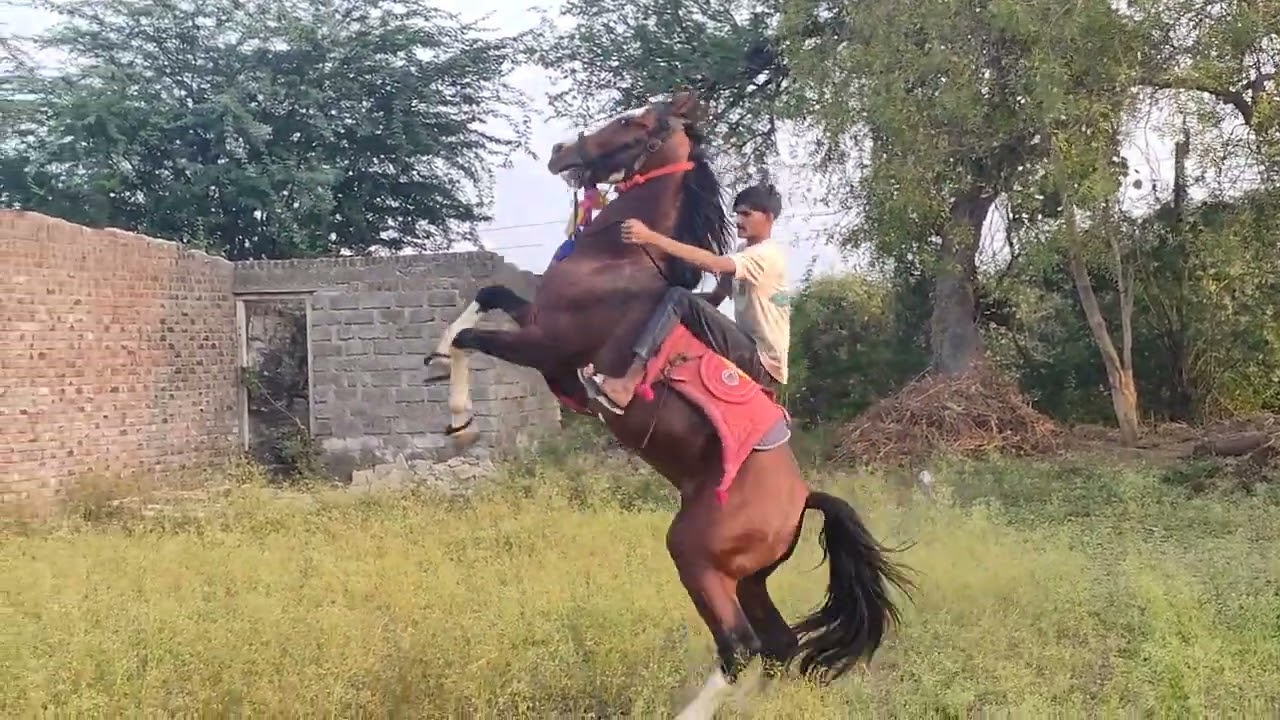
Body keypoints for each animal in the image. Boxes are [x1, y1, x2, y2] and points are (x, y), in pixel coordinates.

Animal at [425, 91, 914, 718]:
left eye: (632, 121)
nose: (561, 151)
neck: (618, 262)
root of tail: (803, 498)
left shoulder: (546, 347)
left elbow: (472, 337)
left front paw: (460, 416)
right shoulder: (536, 323)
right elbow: (485, 297)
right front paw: (440, 364)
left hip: (696, 558)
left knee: (740, 647)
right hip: (747, 578)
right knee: (777, 646)